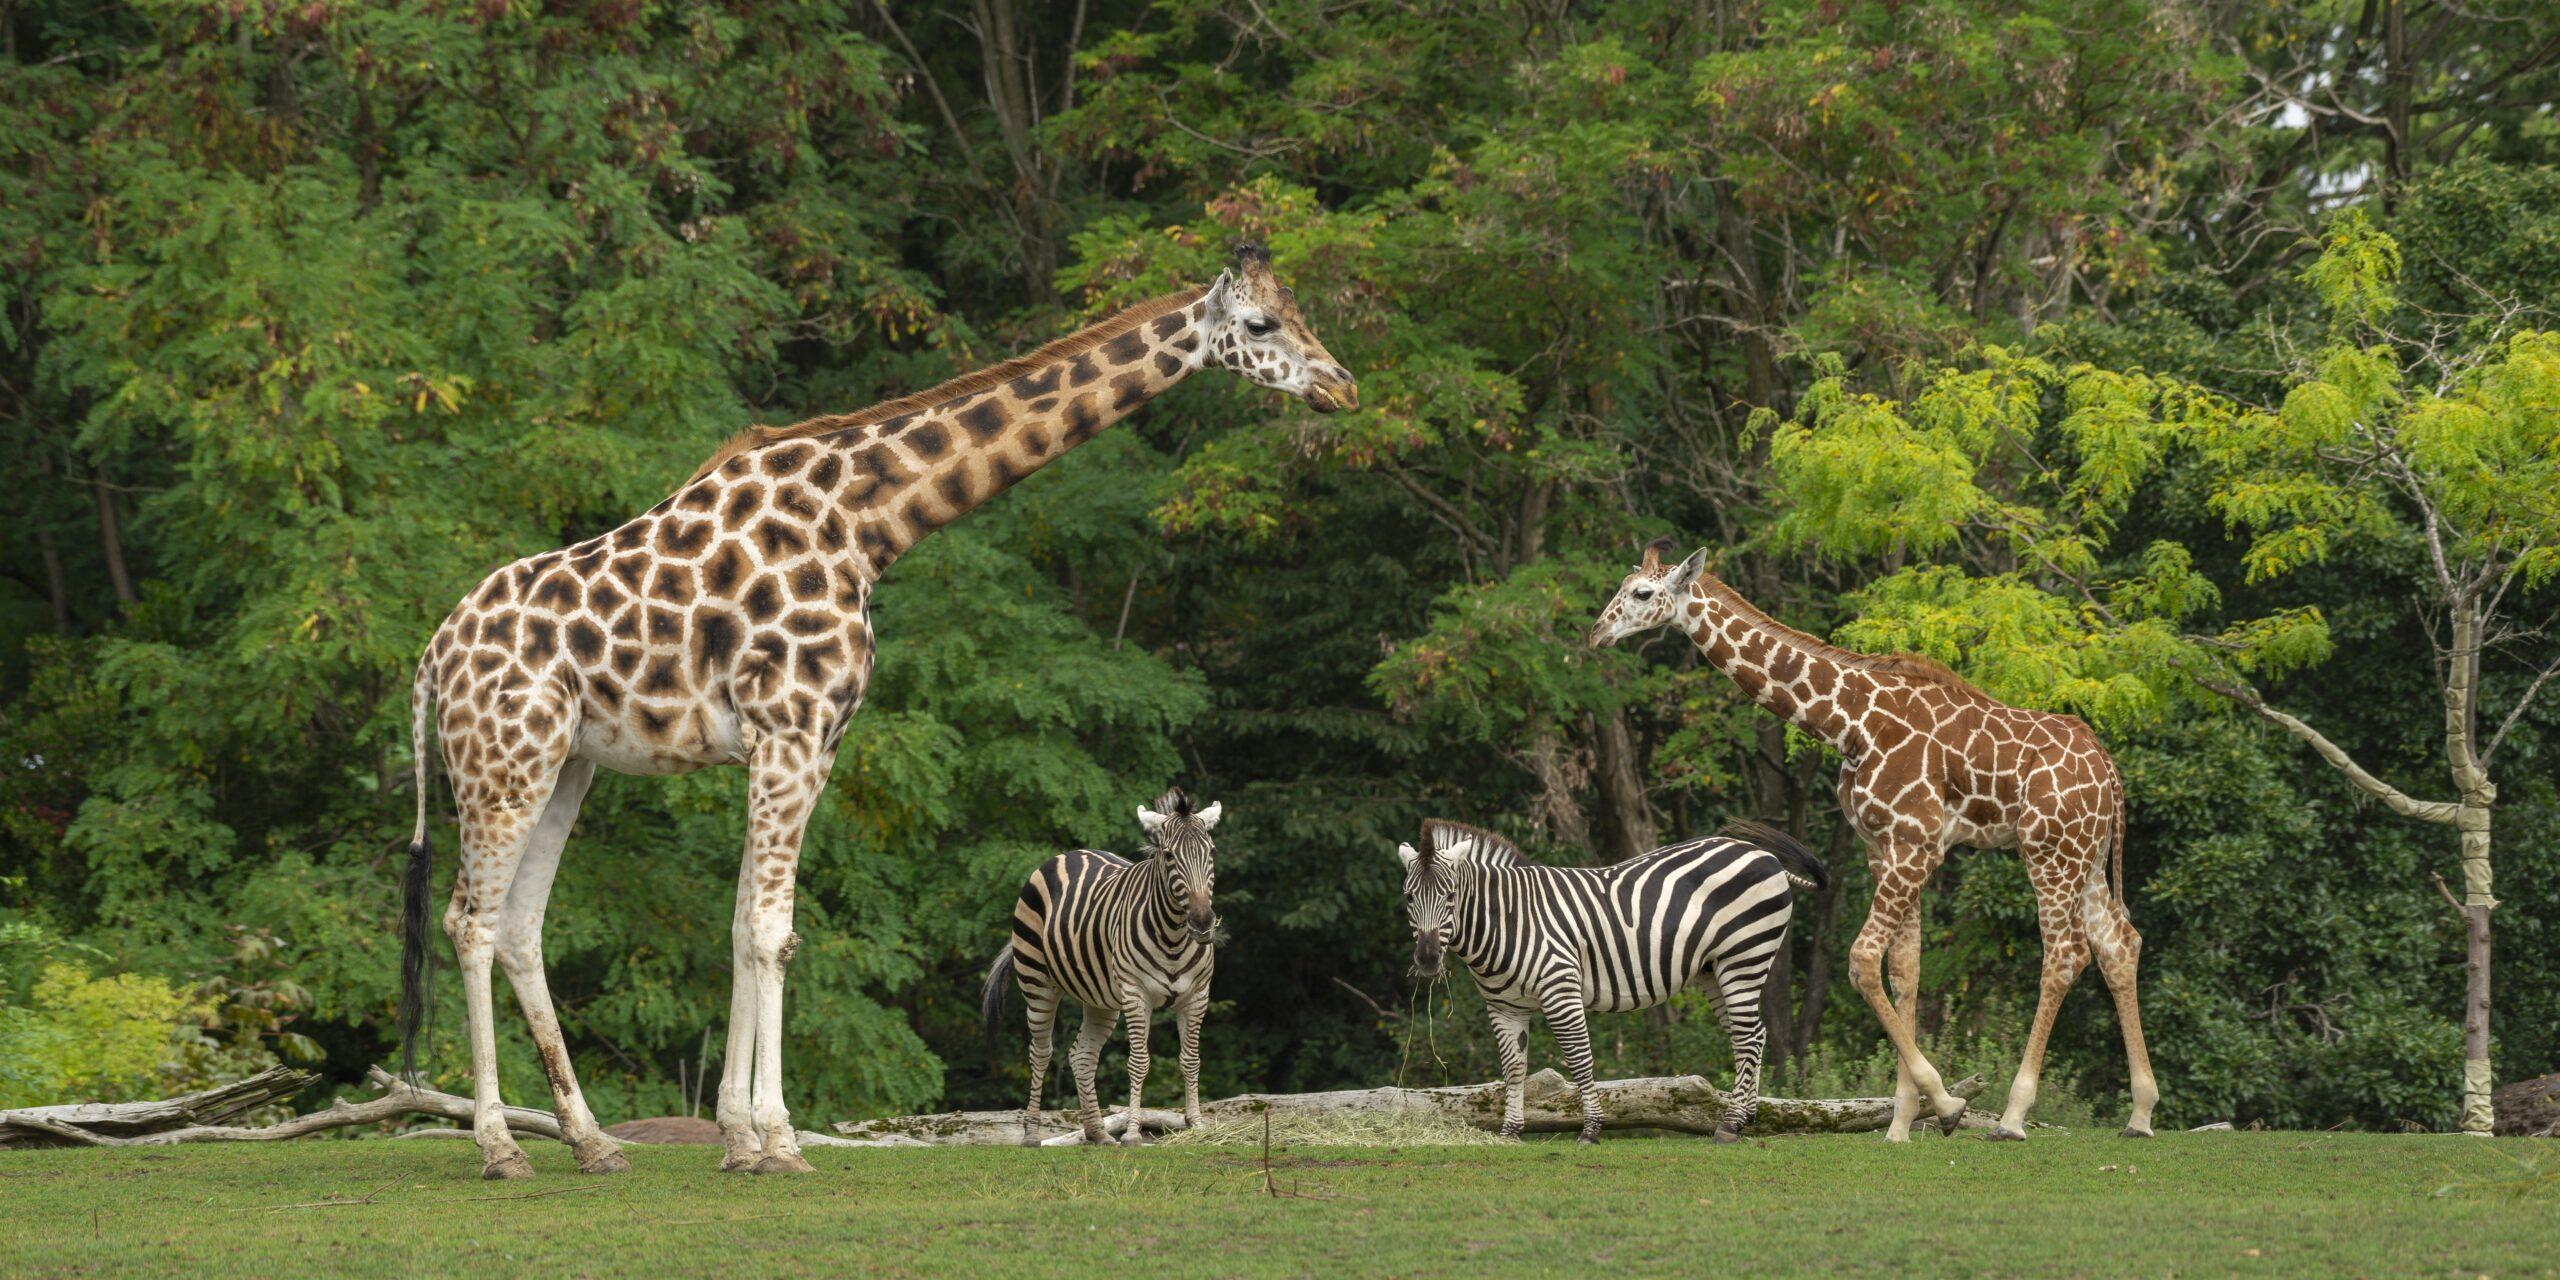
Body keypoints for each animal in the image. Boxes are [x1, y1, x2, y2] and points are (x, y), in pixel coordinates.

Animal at [981, 787, 1222, 1146]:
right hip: (1037, 983)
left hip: (1100, 998)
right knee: (1041, 1052)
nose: (1203, 922)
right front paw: (1134, 1134)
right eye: (1168, 856)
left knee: (1082, 1055)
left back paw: (1098, 1134)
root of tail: (1070, 853)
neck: (1174, 937)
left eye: (1211, 852)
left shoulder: (1197, 995)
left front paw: (1197, 1124)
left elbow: (1190, 1059)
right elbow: (1139, 1062)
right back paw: (1032, 1135)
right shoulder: (1136, 994)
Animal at [1395, 817, 1828, 1143]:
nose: (1428, 959)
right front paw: (1510, 1132)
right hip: (1714, 970)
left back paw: (1732, 1123)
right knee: (1750, 1036)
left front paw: (1591, 1129)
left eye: (1450, 896)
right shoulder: (1505, 1007)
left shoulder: (1560, 991)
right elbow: (1513, 1068)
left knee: (1749, 1036)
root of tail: (1763, 854)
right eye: (1408, 897)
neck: (1510, 920)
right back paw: (1744, 1119)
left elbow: (1580, 1059)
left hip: (1744, 957)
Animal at [1586, 538, 2157, 1142]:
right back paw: (2140, 1114)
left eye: (1641, 593)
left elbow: (1863, 961)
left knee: (2065, 953)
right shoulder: (1884, 846)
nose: (1597, 633)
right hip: (2086, 854)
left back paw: (2014, 1116)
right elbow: (1904, 970)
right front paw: (1902, 1121)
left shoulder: (1917, 842)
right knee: (2119, 943)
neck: (1850, 724)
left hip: (2048, 850)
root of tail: (2109, 770)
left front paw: (1946, 1103)